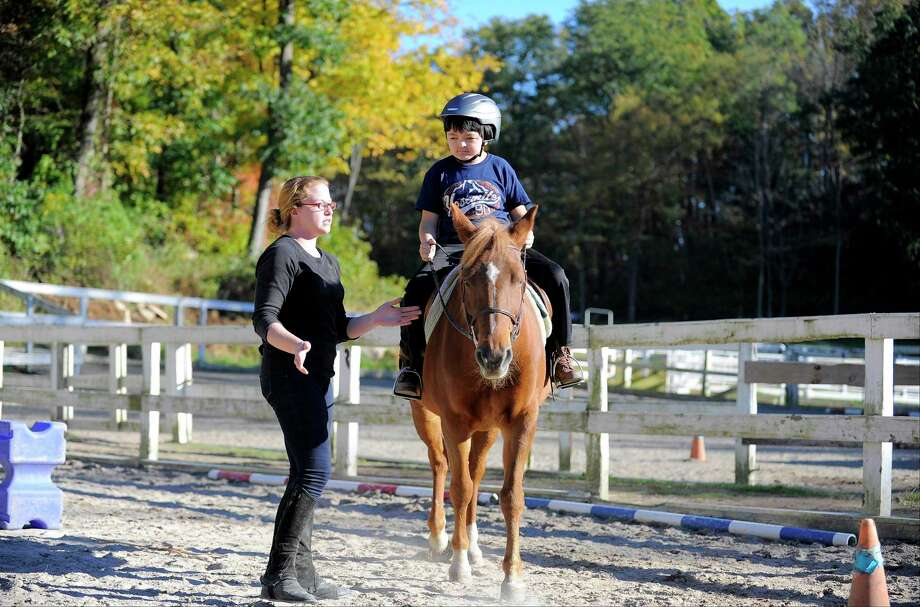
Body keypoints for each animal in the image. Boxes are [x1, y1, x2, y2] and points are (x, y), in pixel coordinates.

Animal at [408, 204, 548, 604]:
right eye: (469, 280)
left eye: (519, 279)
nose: (494, 357)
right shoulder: (454, 421)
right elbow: (460, 487)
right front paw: (458, 567)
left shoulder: (522, 421)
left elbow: (511, 495)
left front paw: (512, 579)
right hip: (426, 415)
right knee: (442, 466)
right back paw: (440, 537)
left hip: (487, 429)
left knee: (477, 469)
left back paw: (472, 546)